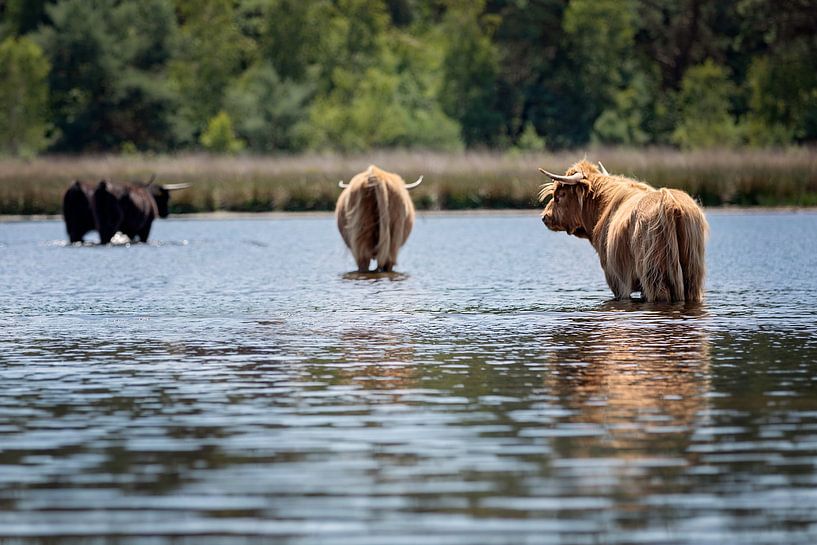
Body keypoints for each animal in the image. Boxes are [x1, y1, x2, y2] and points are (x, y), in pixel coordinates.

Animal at [540, 159, 704, 302]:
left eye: (560, 195)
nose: (545, 216)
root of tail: (669, 201)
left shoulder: (616, 279)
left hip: (654, 274)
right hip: (692, 273)